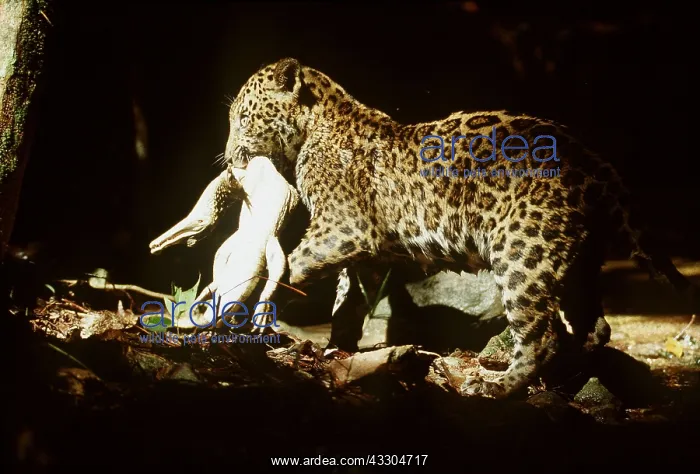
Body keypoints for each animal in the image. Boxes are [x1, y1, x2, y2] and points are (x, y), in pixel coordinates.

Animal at [222, 57, 698, 399]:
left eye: (243, 118)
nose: (228, 157)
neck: (314, 126)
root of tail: (593, 161)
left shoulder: (343, 229)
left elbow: (292, 265)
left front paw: (256, 307)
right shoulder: (361, 250)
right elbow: (348, 299)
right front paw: (338, 345)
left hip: (523, 253)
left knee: (541, 334)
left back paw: (494, 386)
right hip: (578, 258)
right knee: (594, 327)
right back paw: (567, 373)